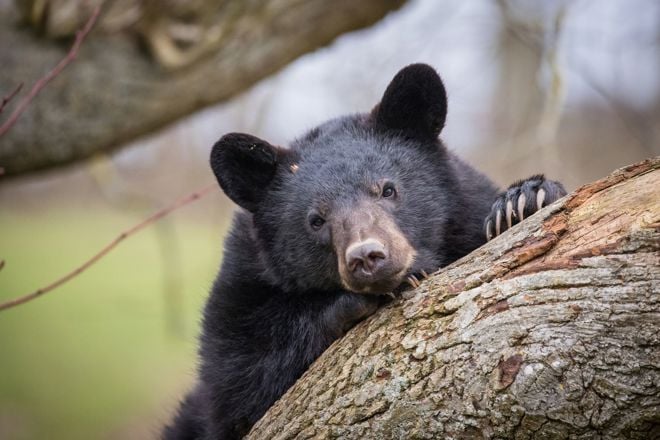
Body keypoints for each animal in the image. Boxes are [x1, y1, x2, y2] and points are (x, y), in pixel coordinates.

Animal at [161, 63, 568, 438]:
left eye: (388, 189)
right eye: (316, 220)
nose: (368, 257)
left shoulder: (465, 209)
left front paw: (522, 201)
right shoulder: (242, 281)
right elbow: (239, 378)